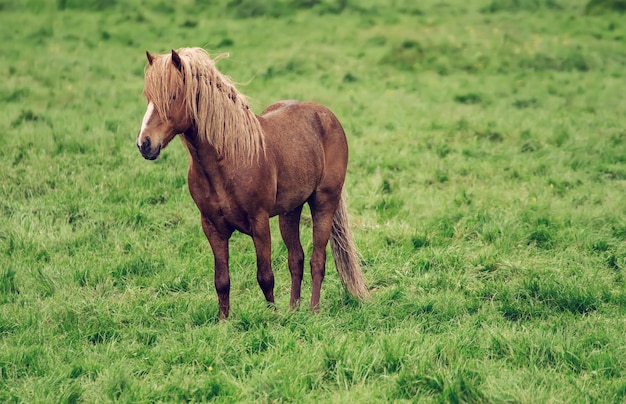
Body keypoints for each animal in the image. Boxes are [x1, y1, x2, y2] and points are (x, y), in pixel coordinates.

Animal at [133, 47, 366, 318]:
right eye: (148, 97)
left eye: (172, 96)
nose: (145, 144)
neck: (227, 159)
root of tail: (327, 115)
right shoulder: (212, 227)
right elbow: (222, 281)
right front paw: (224, 322)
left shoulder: (259, 222)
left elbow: (265, 276)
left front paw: (272, 318)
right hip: (290, 211)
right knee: (295, 259)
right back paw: (293, 311)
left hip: (324, 202)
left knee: (317, 259)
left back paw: (313, 312)